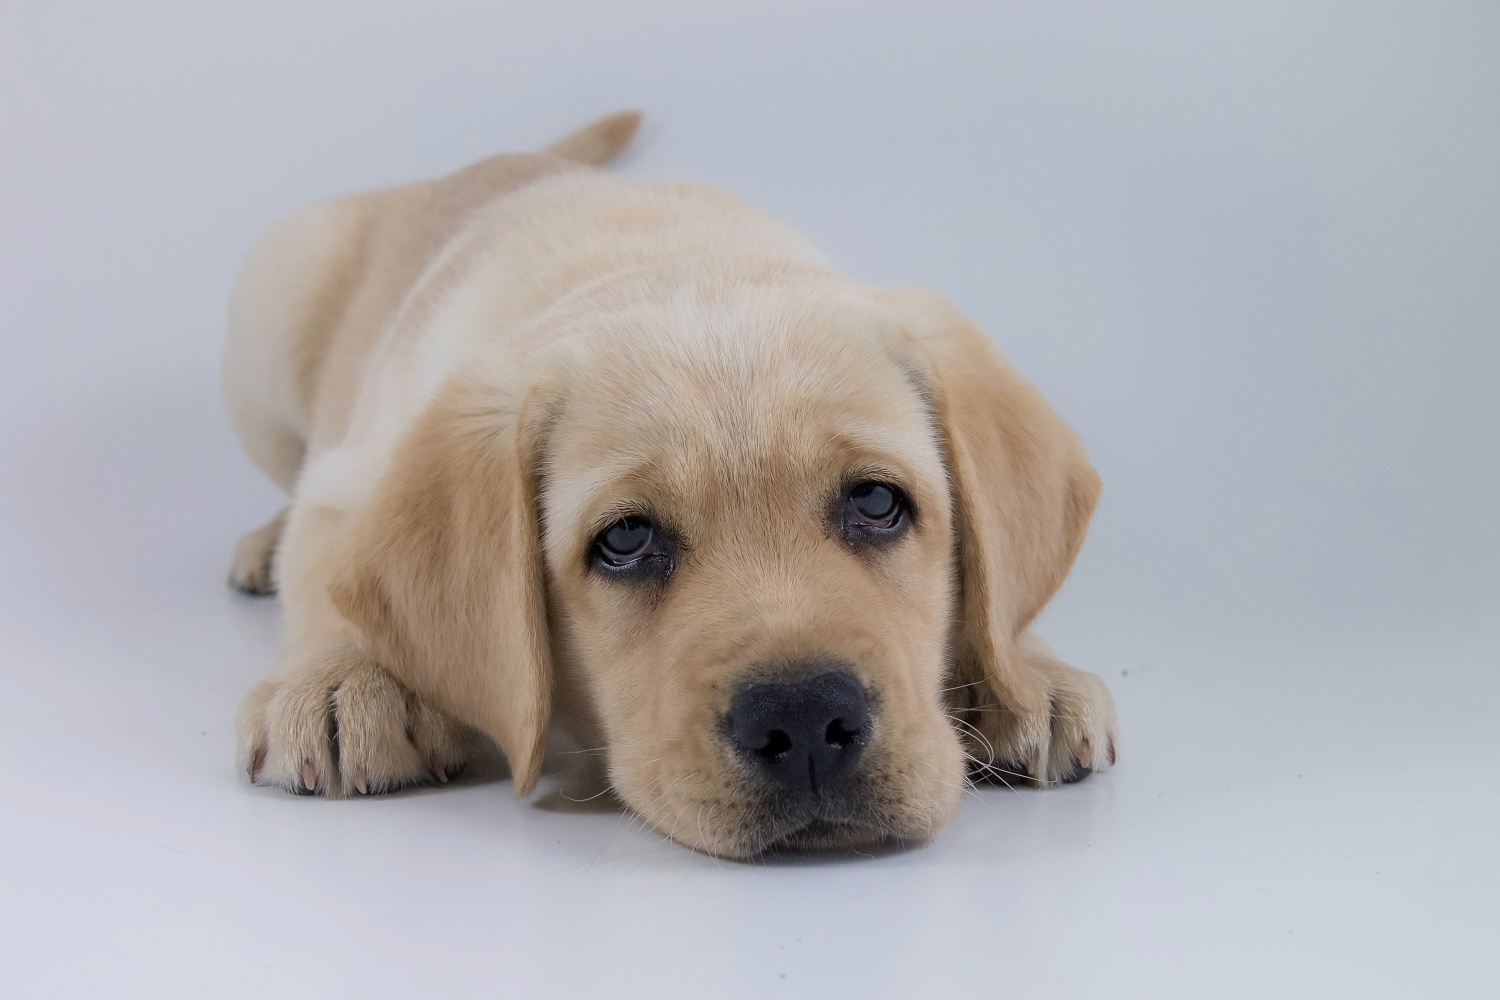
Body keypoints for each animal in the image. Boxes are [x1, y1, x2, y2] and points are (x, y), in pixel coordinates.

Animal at [222, 111, 1116, 863]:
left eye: (876, 502)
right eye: (624, 540)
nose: (804, 720)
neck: (662, 264)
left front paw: (1024, 672)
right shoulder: (346, 480)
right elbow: (322, 573)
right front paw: (341, 680)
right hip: (266, 319)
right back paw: (261, 549)